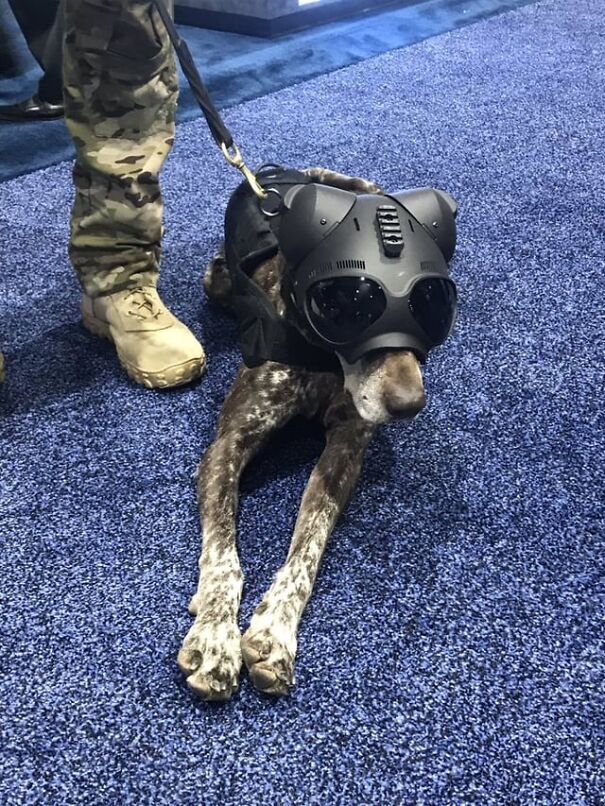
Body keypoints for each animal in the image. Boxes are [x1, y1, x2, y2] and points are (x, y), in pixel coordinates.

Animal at [177, 169, 428, 700]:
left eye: (428, 304)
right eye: (353, 301)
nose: (410, 404)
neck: (322, 356)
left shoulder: (344, 452)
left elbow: (308, 547)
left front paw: (274, 634)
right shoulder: (226, 446)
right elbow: (224, 555)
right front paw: (214, 637)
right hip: (215, 280)